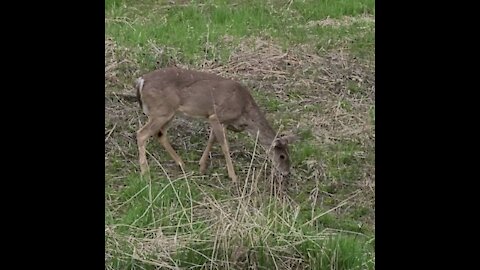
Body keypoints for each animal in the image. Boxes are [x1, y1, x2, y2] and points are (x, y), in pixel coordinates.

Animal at [132, 66, 296, 182]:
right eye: (282, 156)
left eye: (289, 154)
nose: (286, 173)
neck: (244, 111)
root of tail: (141, 81)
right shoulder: (217, 116)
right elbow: (225, 146)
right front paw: (233, 176)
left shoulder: (219, 121)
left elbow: (212, 139)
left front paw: (201, 166)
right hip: (161, 111)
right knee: (141, 134)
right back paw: (145, 172)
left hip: (169, 113)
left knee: (160, 134)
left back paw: (181, 163)